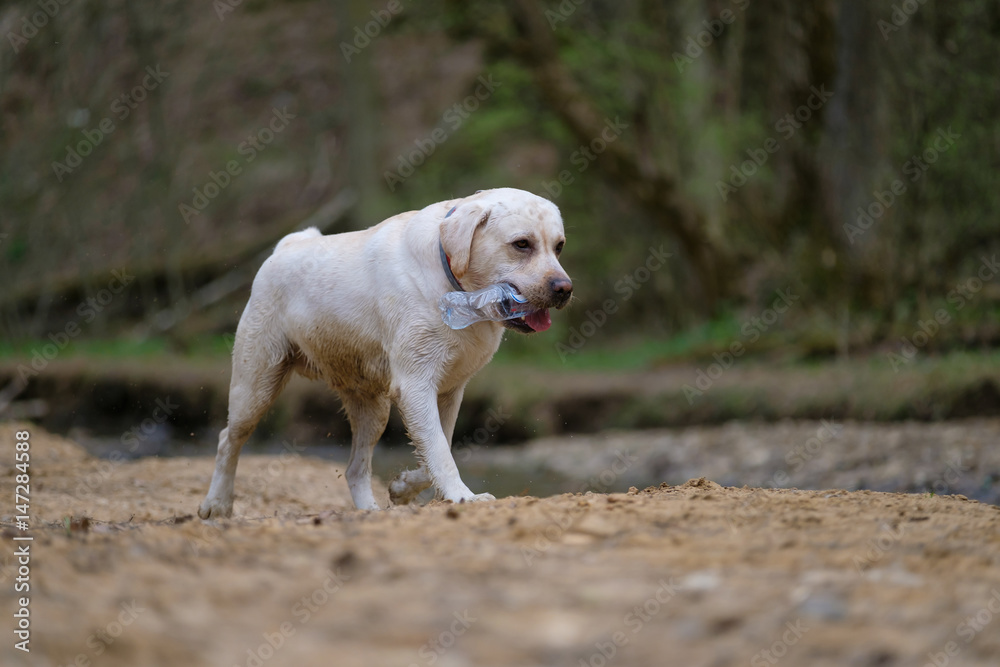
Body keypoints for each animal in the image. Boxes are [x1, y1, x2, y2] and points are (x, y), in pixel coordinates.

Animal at [197, 187, 572, 516]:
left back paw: (369, 510)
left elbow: (439, 445)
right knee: (227, 440)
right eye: (521, 244)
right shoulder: (415, 385)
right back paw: (216, 505)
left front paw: (403, 488)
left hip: (372, 408)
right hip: (255, 385)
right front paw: (462, 496)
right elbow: (440, 450)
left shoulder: (448, 391)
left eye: (559, 246)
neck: (457, 291)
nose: (564, 289)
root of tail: (288, 245)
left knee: (355, 468)